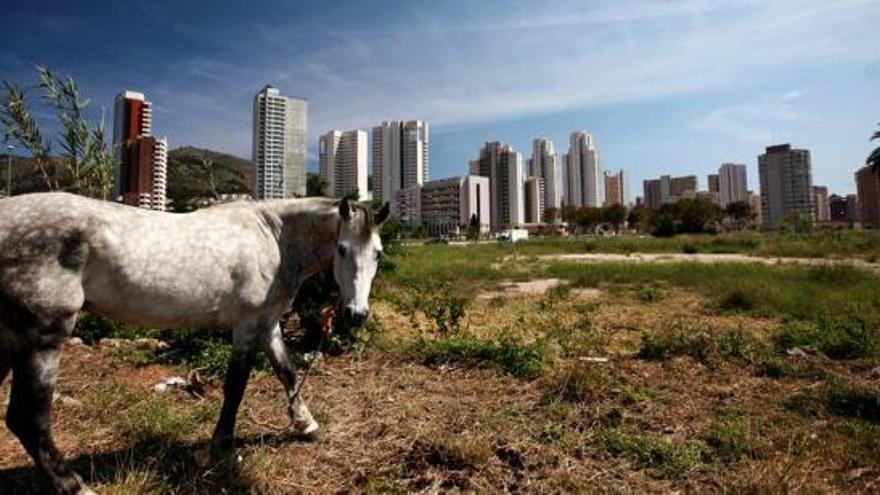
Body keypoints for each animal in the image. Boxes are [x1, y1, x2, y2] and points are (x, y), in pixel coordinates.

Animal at [0, 192, 388, 494]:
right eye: (342, 249)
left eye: (378, 253)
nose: (356, 314)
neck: (273, 238)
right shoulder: (247, 326)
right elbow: (236, 387)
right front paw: (224, 449)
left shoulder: (267, 325)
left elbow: (287, 371)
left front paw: (306, 424)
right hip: (44, 338)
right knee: (28, 419)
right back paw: (76, 486)